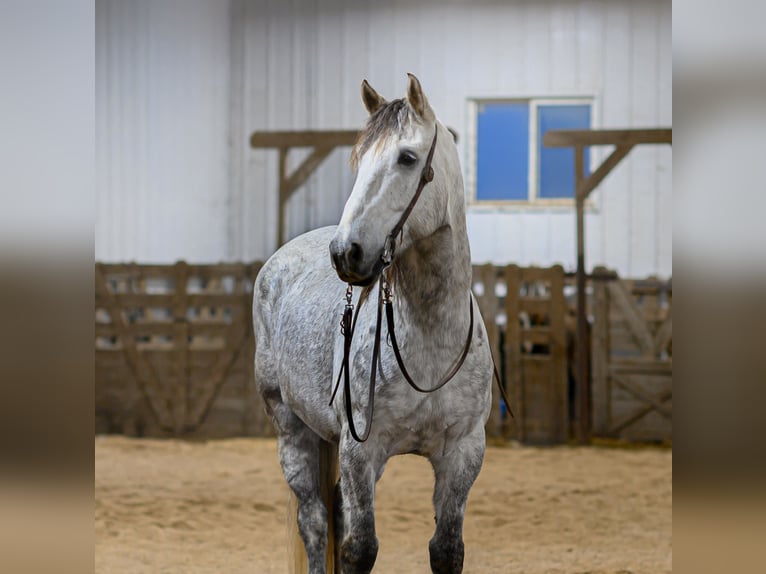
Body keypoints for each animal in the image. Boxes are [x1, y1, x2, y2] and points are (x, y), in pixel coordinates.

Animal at [253, 74, 493, 574]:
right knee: (315, 523)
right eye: (359, 159)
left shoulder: (463, 454)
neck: (429, 342)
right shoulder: (361, 450)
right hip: (291, 429)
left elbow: (447, 548)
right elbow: (358, 548)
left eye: (407, 157)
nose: (347, 252)